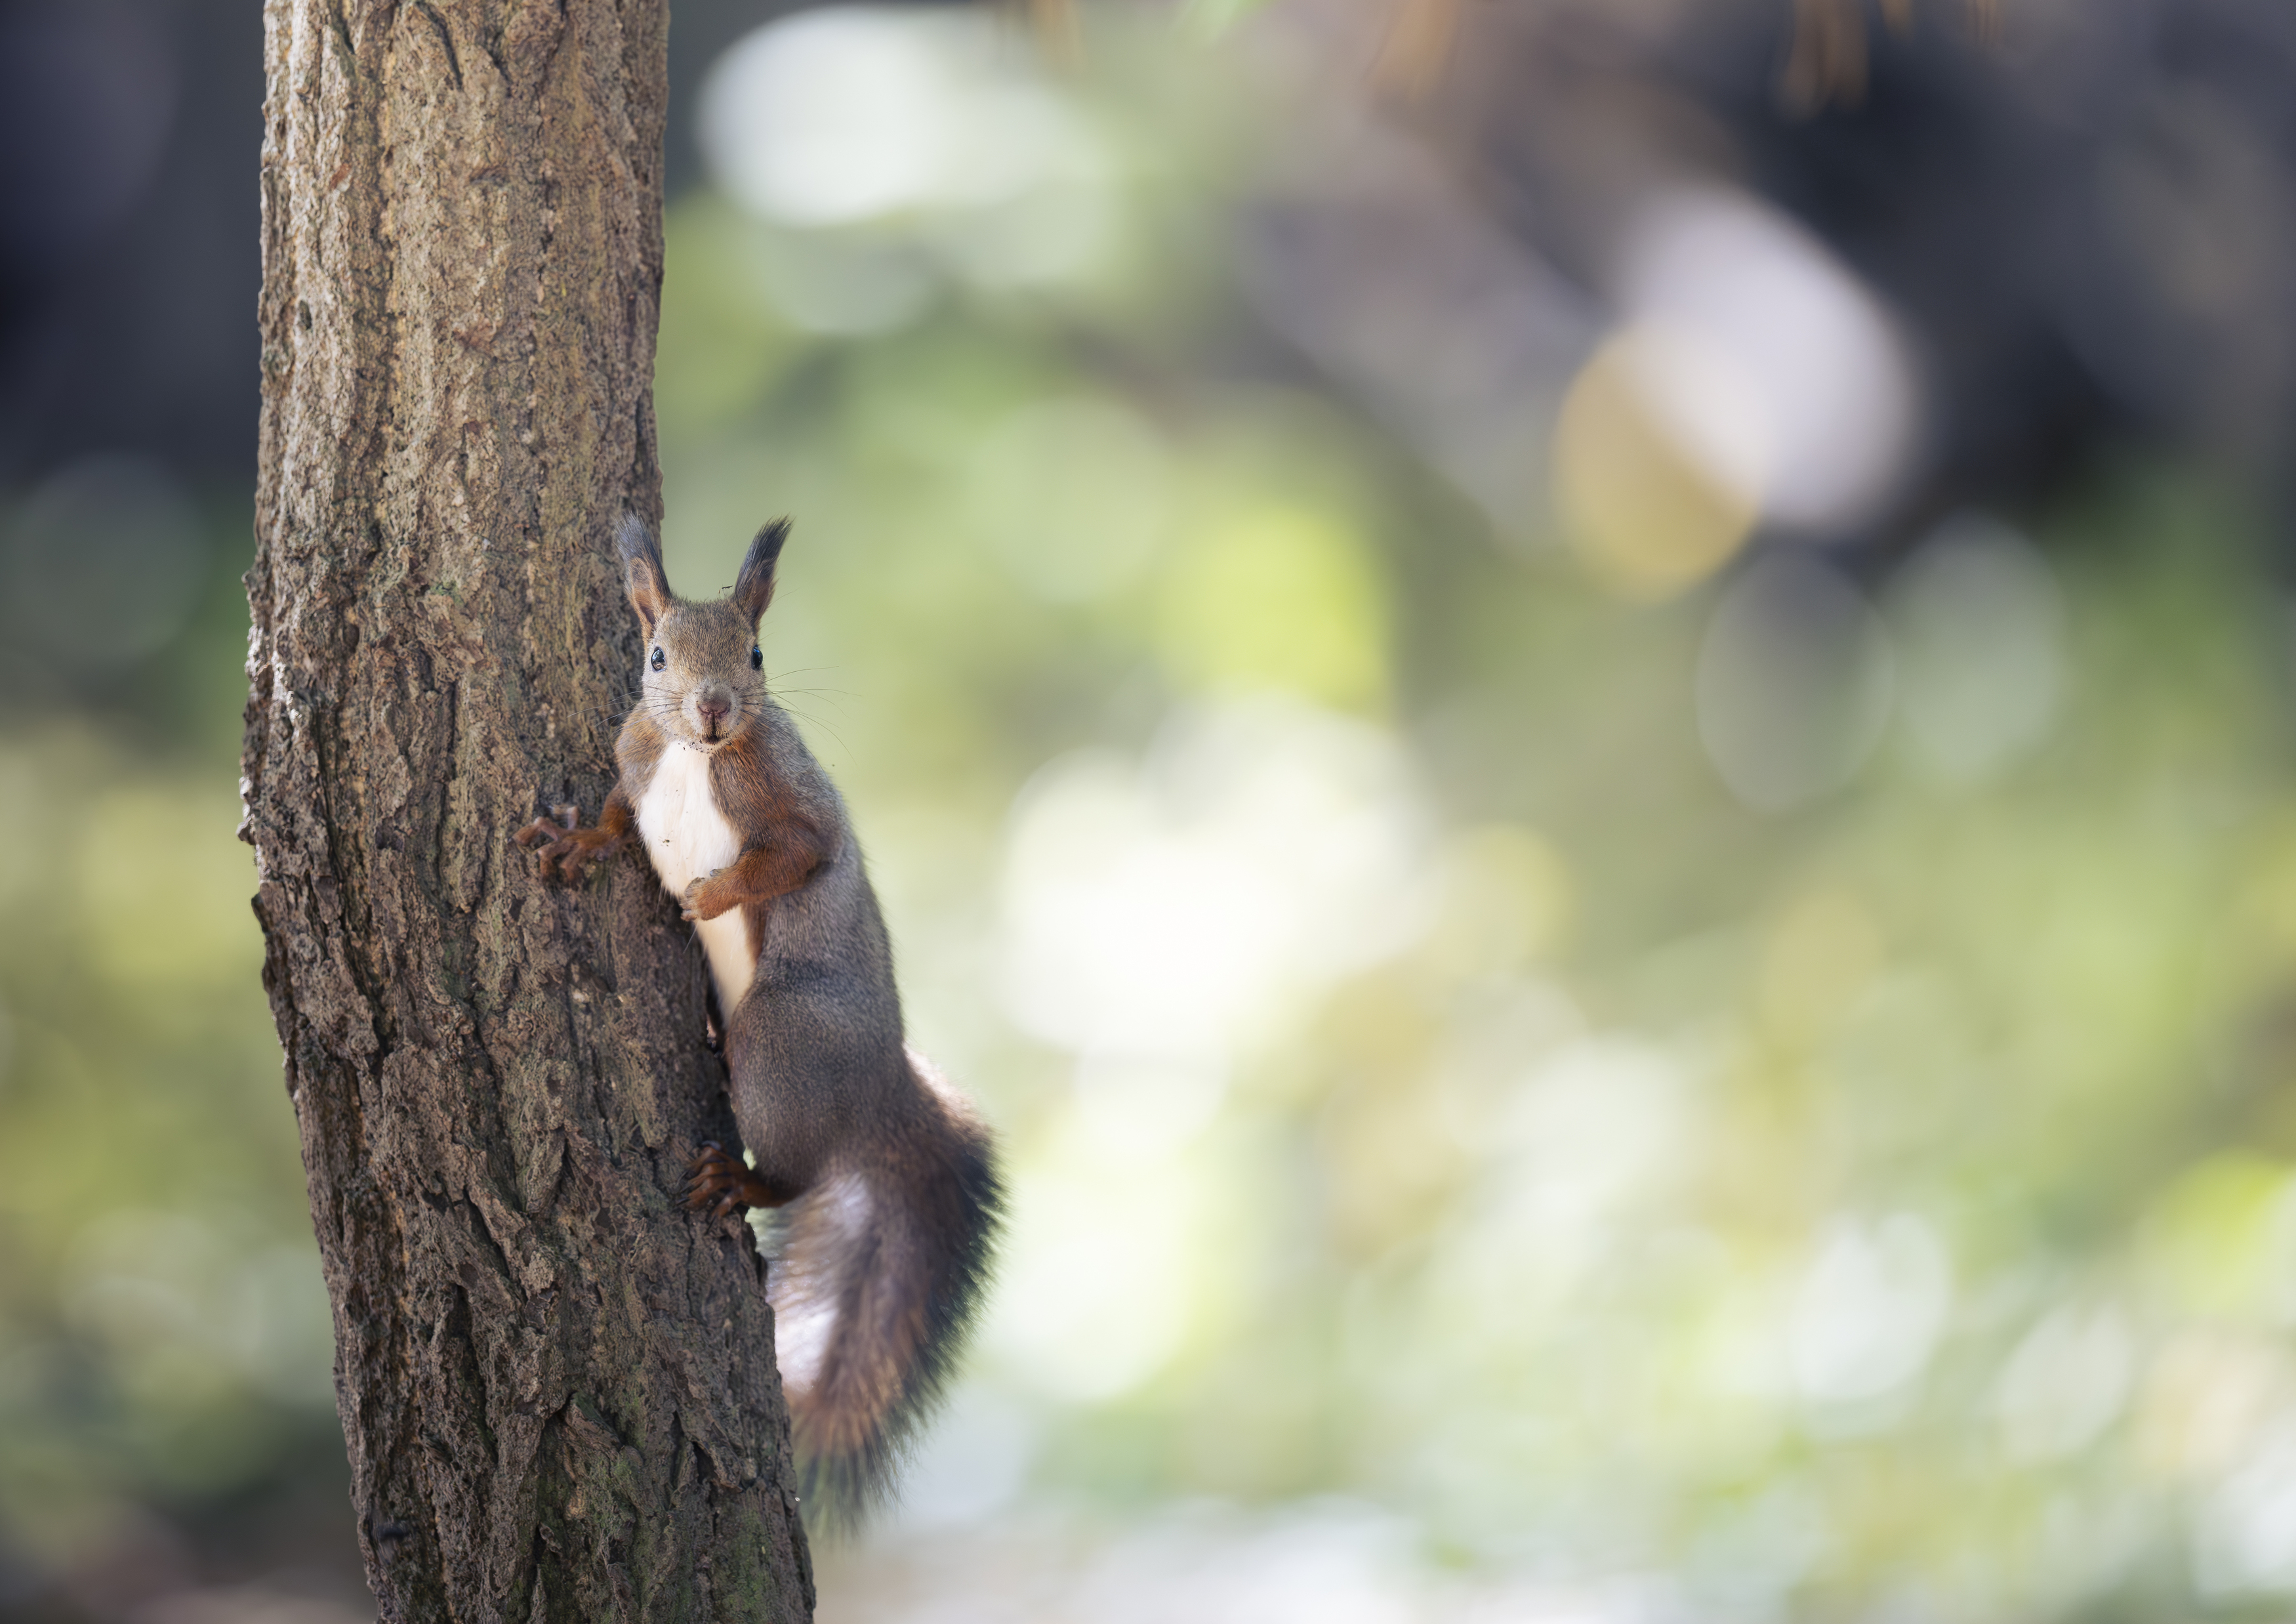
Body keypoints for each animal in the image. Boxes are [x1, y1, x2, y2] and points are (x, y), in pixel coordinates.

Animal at [521, 516, 1006, 1525]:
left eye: (754, 653)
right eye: (655, 656)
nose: (712, 708)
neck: (697, 759)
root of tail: (881, 1090)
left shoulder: (793, 803)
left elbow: (794, 857)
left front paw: (709, 895)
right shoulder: (631, 758)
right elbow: (618, 814)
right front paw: (575, 842)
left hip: (784, 1036)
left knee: (791, 1172)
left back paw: (739, 1178)